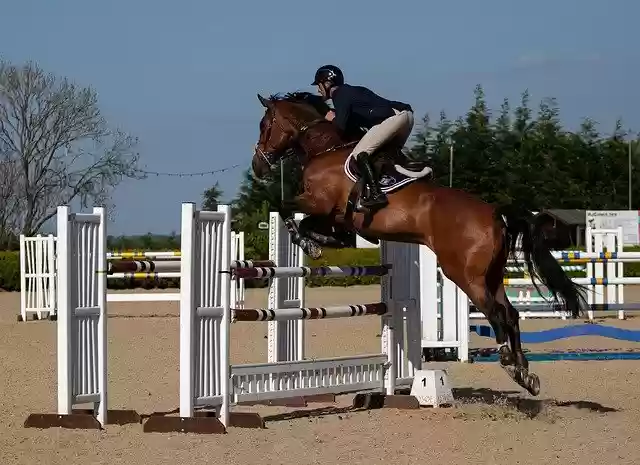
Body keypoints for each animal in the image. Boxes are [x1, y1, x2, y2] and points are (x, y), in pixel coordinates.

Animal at [251, 91, 588, 396]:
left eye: (265, 125)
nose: (258, 166)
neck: (325, 148)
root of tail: (494, 213)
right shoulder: (334, 215)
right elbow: (318, 226)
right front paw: (320, 241)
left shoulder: (318, 202)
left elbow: (285, 207)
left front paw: (307, 242)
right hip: (491, 275)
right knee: (511, 314)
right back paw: (525, 374)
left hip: (464, 274)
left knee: (496, 314)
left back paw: (508, 360)